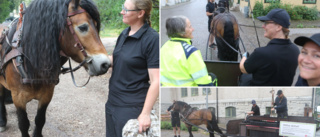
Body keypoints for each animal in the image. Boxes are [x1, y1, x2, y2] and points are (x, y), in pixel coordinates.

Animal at [0, 0, 110, 136]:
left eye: (96, 25)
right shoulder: (18, 97)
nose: (105, 64)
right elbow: (23, 124)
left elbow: (40, 120)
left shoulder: (47, 94)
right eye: (83, 27)